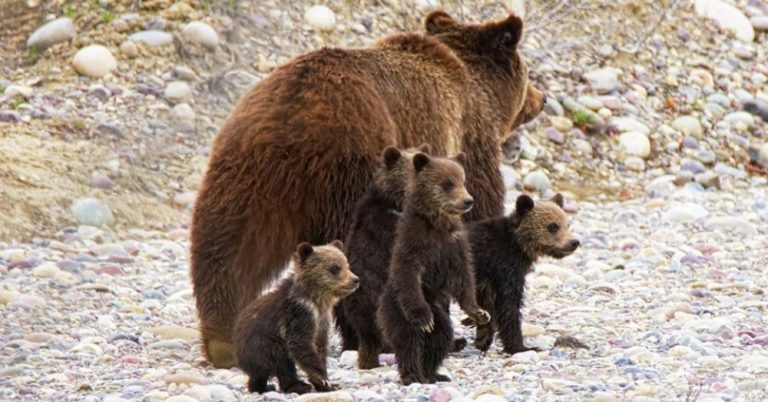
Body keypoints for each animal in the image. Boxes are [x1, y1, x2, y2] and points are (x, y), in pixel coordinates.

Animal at [234, 240, 360, 394]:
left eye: (347, 265)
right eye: (335, 268)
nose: (355, 280)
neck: (318, 300)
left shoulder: (322, 320)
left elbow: (319, 347)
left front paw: (328, 383)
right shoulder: (299, 314)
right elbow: (301, 343)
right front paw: (324, 381)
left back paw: (265, 386)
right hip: (261, 343)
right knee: (280, 360)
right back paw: (297, 385)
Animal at [378, 152, 492, 384]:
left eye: (463, 180)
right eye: (447, 183)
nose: (468, 200)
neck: (437, 223)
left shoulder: (455, 244)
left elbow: (464, 276)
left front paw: (479, 312)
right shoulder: (415, 243)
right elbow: (408, 275)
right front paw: (423, 318)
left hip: (439, 309)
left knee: (441, 336)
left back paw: (433, 373)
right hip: (397, 309)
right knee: (408, 340)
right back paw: (412, 374)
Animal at [460, 195, 580, 354]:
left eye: (568, 224)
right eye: (553, 226)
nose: (574, 242)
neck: (518, 245)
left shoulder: (487, 279)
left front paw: (483, 337)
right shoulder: (504, 268)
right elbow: (509, 305)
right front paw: (522, 347)